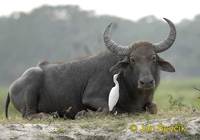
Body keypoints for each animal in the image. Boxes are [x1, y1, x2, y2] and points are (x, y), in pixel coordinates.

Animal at [5, 17, 177, 119]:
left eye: (153, 58)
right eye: (132, 59)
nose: (146, 82)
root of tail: (12, 86)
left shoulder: (149, 102)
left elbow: (153, 108)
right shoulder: (92, 98)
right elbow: (114, 110)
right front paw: (83, 114)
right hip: (31, 82)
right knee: (28, 114)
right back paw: (47, 115)